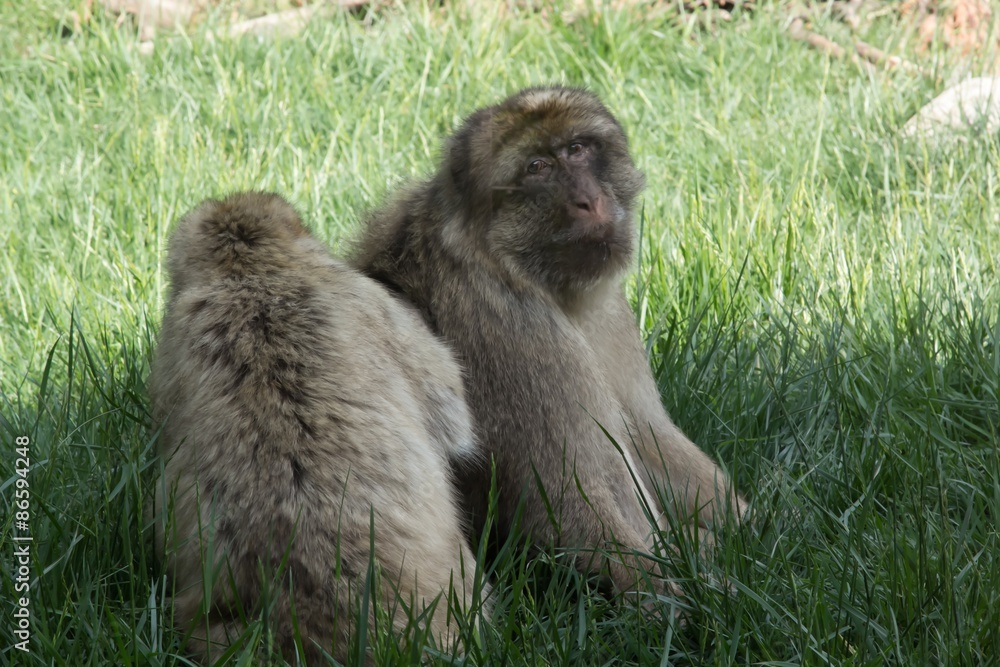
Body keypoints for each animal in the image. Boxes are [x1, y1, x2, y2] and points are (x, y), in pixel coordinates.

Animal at [354, 86, 747, 599]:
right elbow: (566, 497)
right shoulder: (512, 331)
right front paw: (684, 598)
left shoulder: (608, 313)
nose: (587, 200)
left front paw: (761, 525)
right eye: (537, 168)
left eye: (577, 149)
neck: (521, 271)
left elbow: (648, 436)